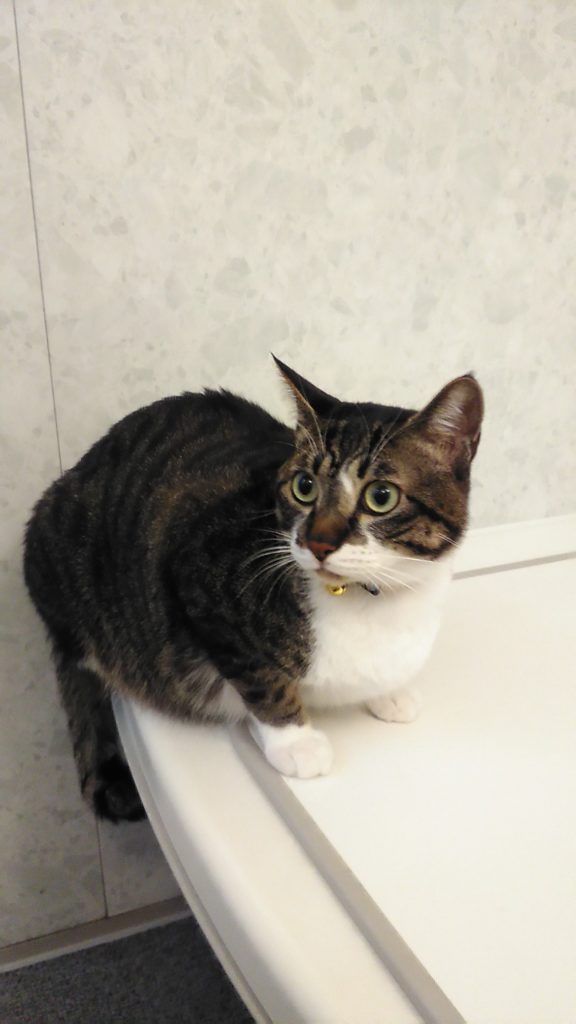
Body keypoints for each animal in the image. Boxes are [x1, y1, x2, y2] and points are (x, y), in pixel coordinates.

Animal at [24, 357, 483, 822]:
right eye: (304, 486)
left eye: (381, 496)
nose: (317, 543)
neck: (372, 601)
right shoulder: (199, 581)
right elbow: (261, 678)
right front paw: (296, 742)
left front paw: (388, 694)